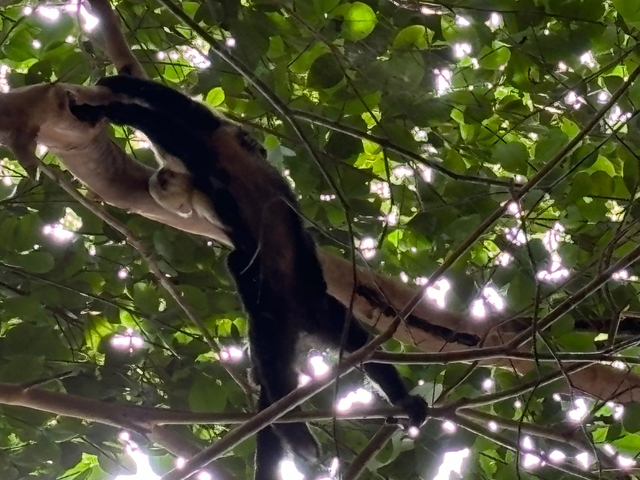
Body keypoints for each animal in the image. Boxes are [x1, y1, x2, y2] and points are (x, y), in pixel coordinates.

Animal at [69, 75, 428, 479]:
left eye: (164, 181)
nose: (162, 182)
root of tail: (297, 314)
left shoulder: (202, 141)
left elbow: (164, 115)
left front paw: (112, 98)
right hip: (316, 312)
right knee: (345, 350)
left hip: (290, 314)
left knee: (279, 352)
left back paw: (303, 434)